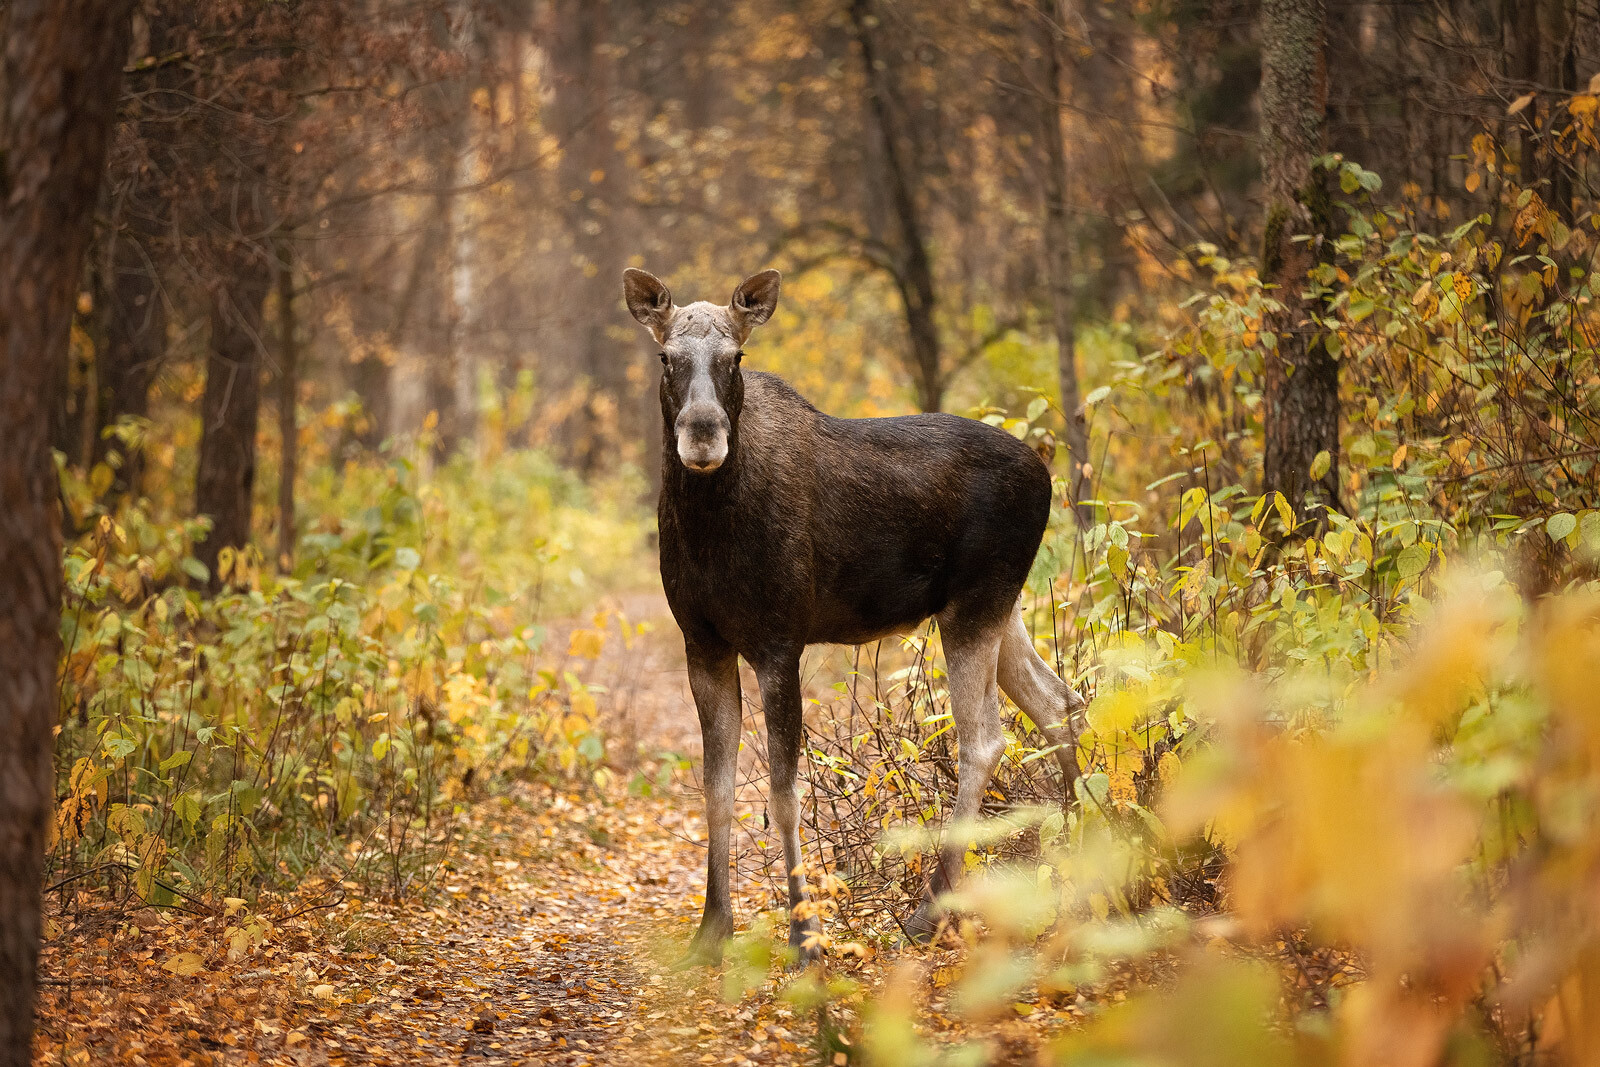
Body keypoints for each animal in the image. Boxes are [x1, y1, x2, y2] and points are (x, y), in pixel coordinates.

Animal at [624, 268, 1088, 966]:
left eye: (736, 357)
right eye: (665, 357)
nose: (702, 431)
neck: (709, 527)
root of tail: (1045, 471)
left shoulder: (779, 642)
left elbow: (783, 792)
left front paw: (805, 935)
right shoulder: (702, 643)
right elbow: (717, 787)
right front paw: (712, 929)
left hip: (976, 605)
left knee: (986, 736)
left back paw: (931, 909)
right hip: (1000, 607)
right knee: (1057, 701)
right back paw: (1090, 848)